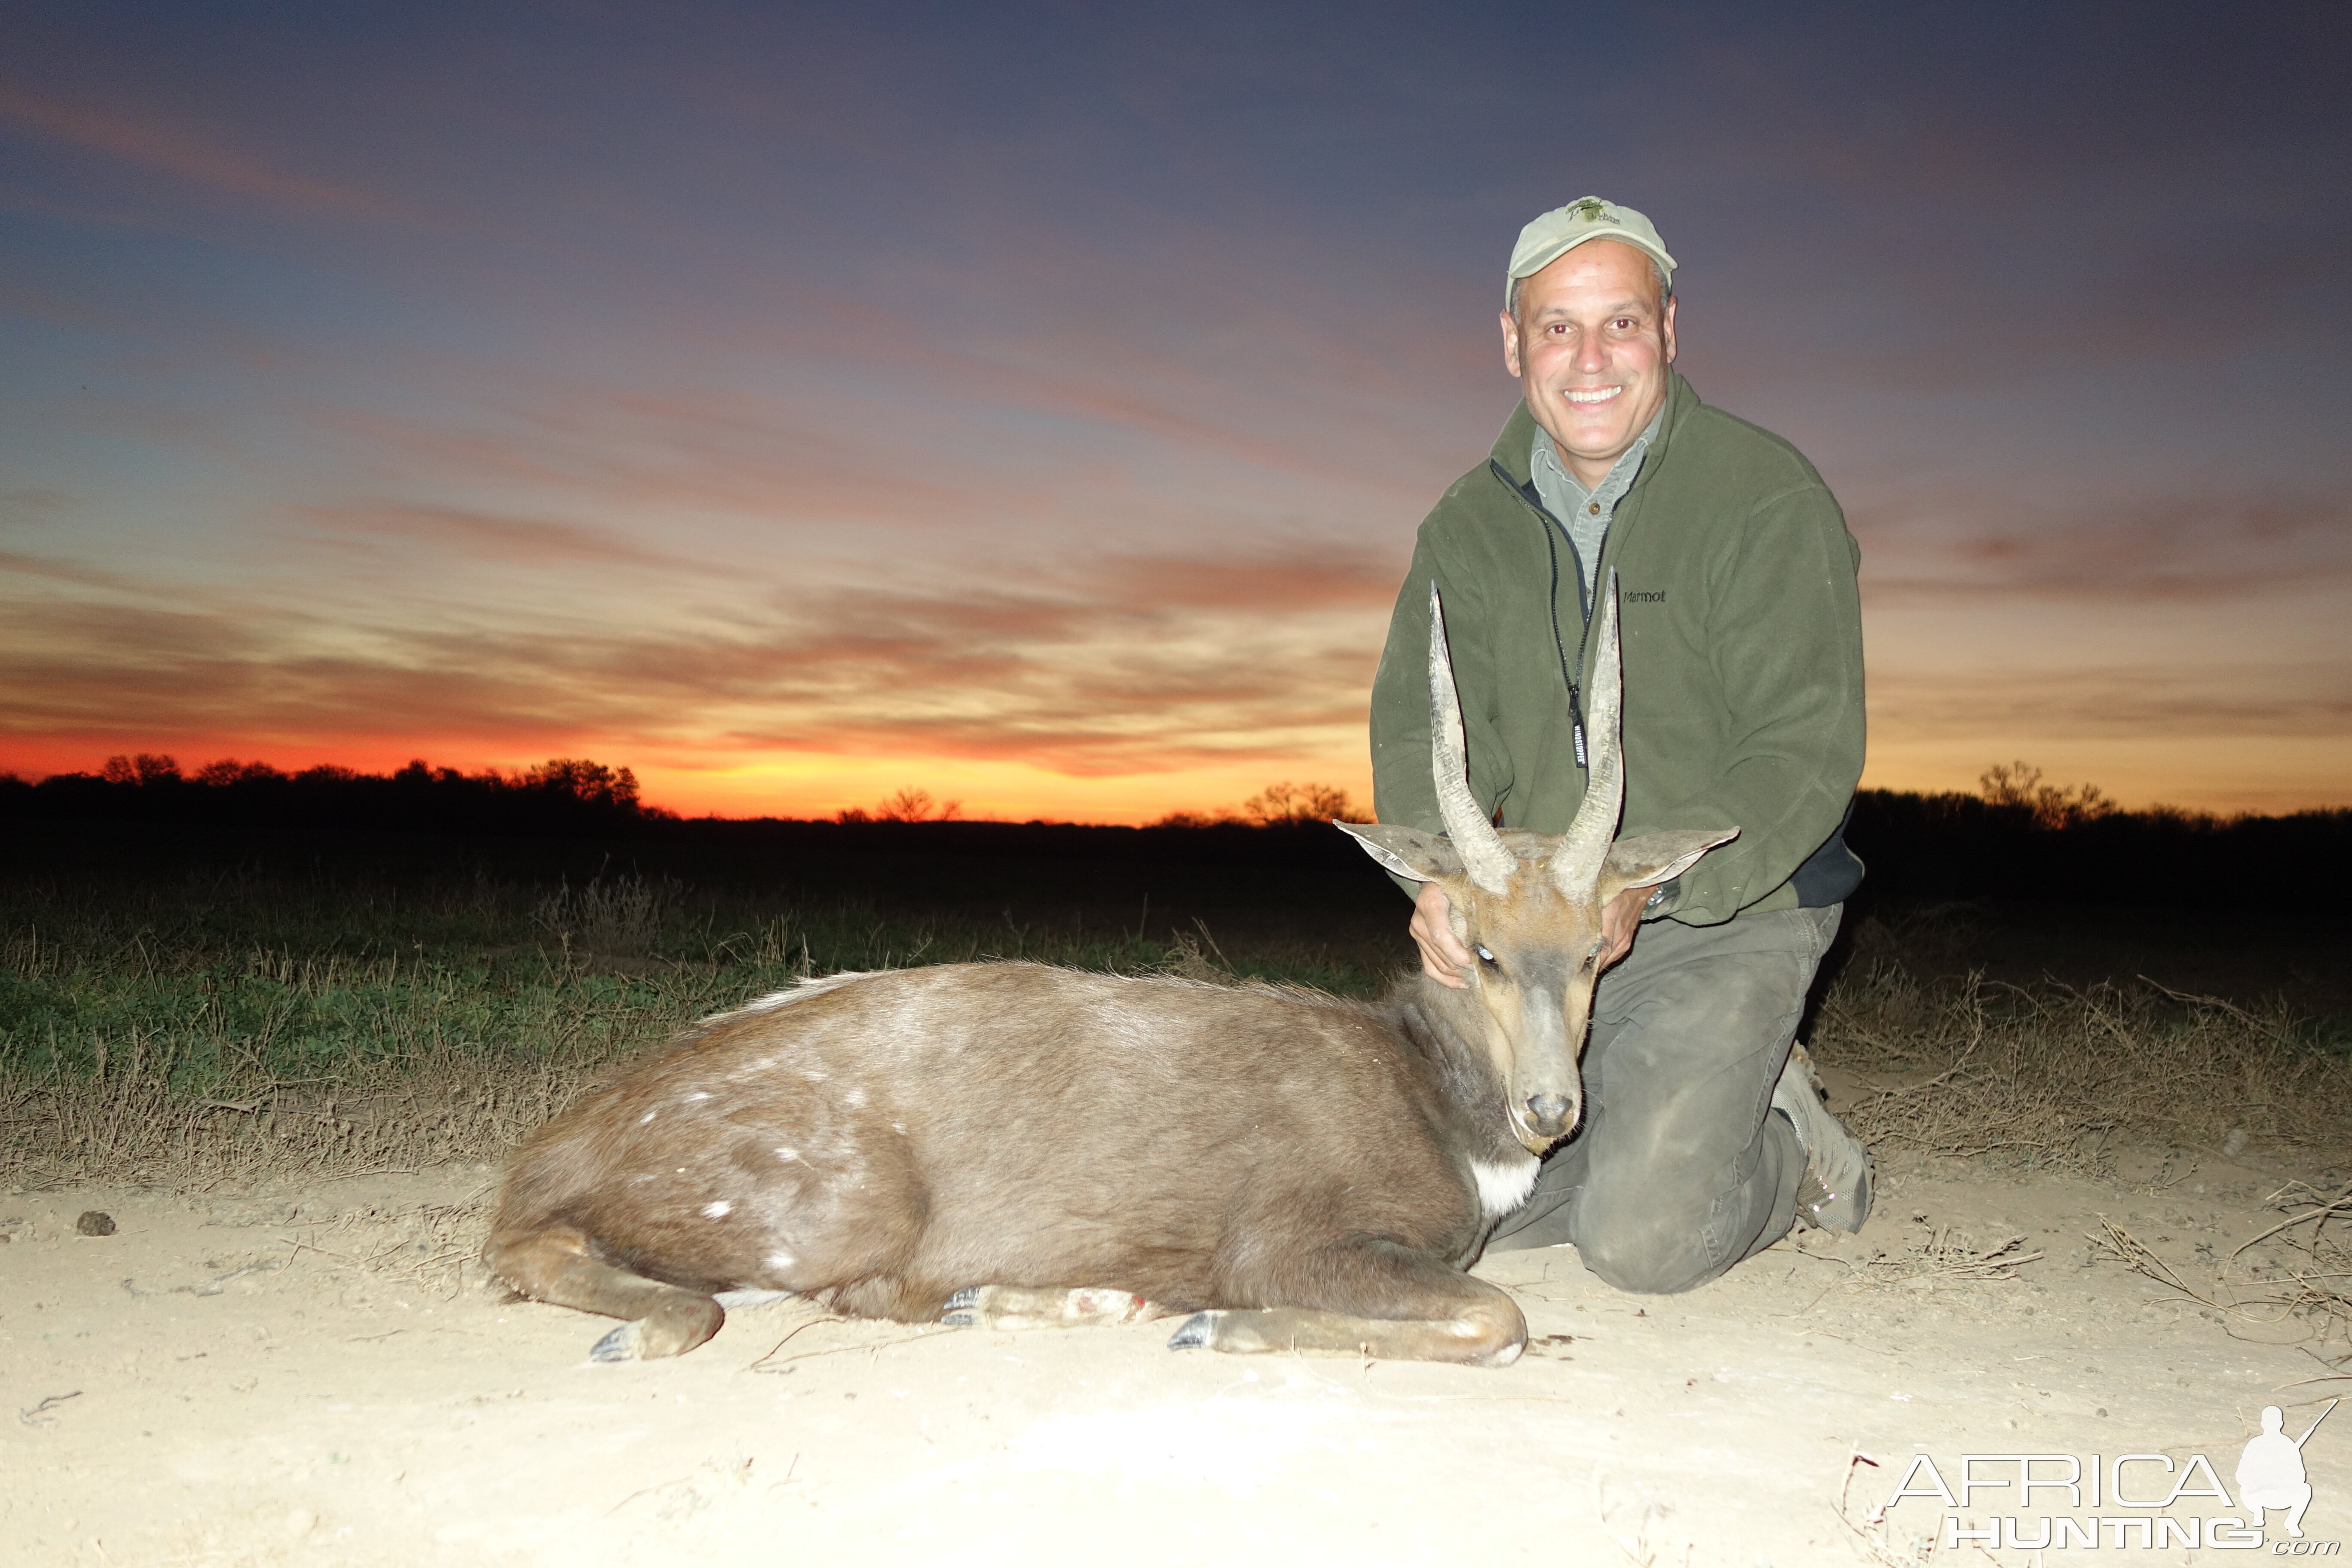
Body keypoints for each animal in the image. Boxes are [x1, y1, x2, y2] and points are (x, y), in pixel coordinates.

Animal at [482, 583, 1731, 1363]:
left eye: (1594, 950)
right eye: (1478, 948)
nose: (1552, 1109)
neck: (1435, 1108)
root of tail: (553, 1147)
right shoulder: (1290, 1239)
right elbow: (1497, 1318)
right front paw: (1218, 1327)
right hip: (836, 1207)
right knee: (583, 1257)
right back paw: (640, 1326)